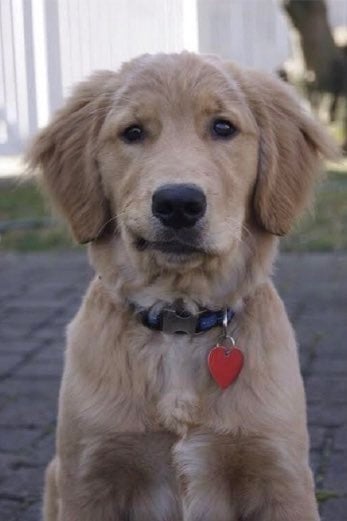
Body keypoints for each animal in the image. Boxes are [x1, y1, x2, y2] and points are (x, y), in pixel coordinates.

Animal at [28, 53, 338, 520]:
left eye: (223, 127)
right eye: (132, 132)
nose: (177, 203)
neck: (179, 321)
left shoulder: (281, 477)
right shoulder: (88, 477)